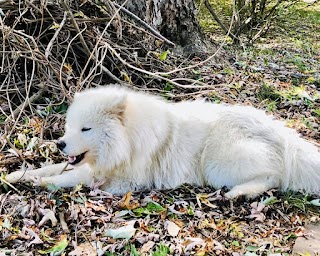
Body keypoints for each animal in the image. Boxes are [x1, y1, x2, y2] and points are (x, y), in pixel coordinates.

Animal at [6, 86, 320, 198]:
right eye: (69, 127)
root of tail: (281, 132)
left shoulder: (124, 180)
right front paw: (18, 174)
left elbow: (71, 177)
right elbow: (51, 167)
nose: (59, 144)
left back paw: (239, 193)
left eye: (86, 129)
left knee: (273, 177)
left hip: (217, 164)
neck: (127, 140)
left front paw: (44, 183)